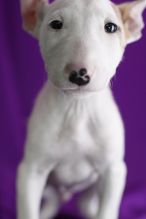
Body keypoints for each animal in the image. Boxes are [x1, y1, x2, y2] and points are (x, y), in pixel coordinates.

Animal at [17, 0, 146, 219]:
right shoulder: (31, 171)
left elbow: (106, 211)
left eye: (111, 27)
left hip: (90, 191)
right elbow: (28, 211)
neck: (77, 109)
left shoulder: (113, 171)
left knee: (85, 205)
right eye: (56, 24)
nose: (79, 74)